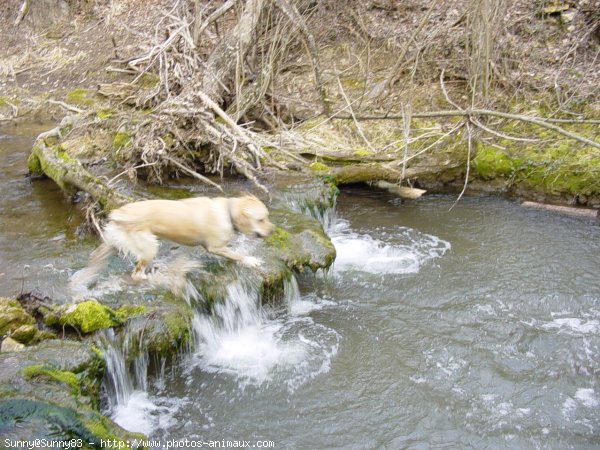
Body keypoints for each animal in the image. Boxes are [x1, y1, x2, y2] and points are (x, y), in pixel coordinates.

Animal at [82, 193, 274, 282]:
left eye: (267, 217)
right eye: (260, 219)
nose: (272, 230)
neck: (227, 213)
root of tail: (118, 213)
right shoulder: (215, 247)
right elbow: (236, 254)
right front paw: (251, 260)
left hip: (113, 243)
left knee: (95, 257)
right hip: (150, 247)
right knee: (137, 273)